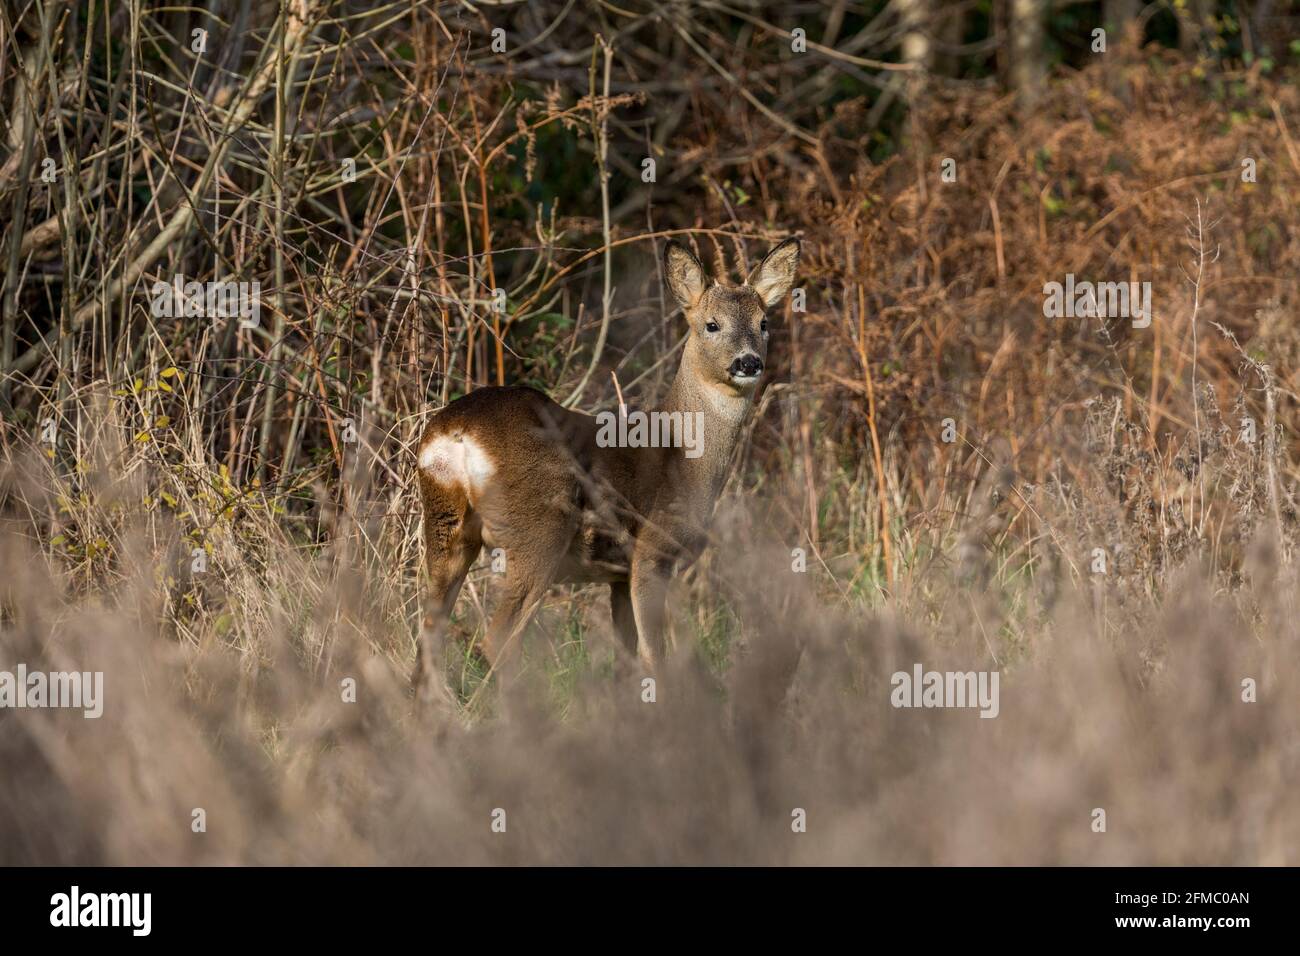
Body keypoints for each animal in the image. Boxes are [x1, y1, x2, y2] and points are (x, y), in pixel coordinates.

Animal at [416, 235, 800, 697]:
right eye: (712, 324)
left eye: (764, 322)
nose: (748, 362)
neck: (685, 456)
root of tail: (454, 435)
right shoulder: (652, 550)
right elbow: (655, 658)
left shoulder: (617, 576)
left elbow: (626, 660)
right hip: (538, 530)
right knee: (496, 638)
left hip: (445, 527)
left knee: (428, 631)